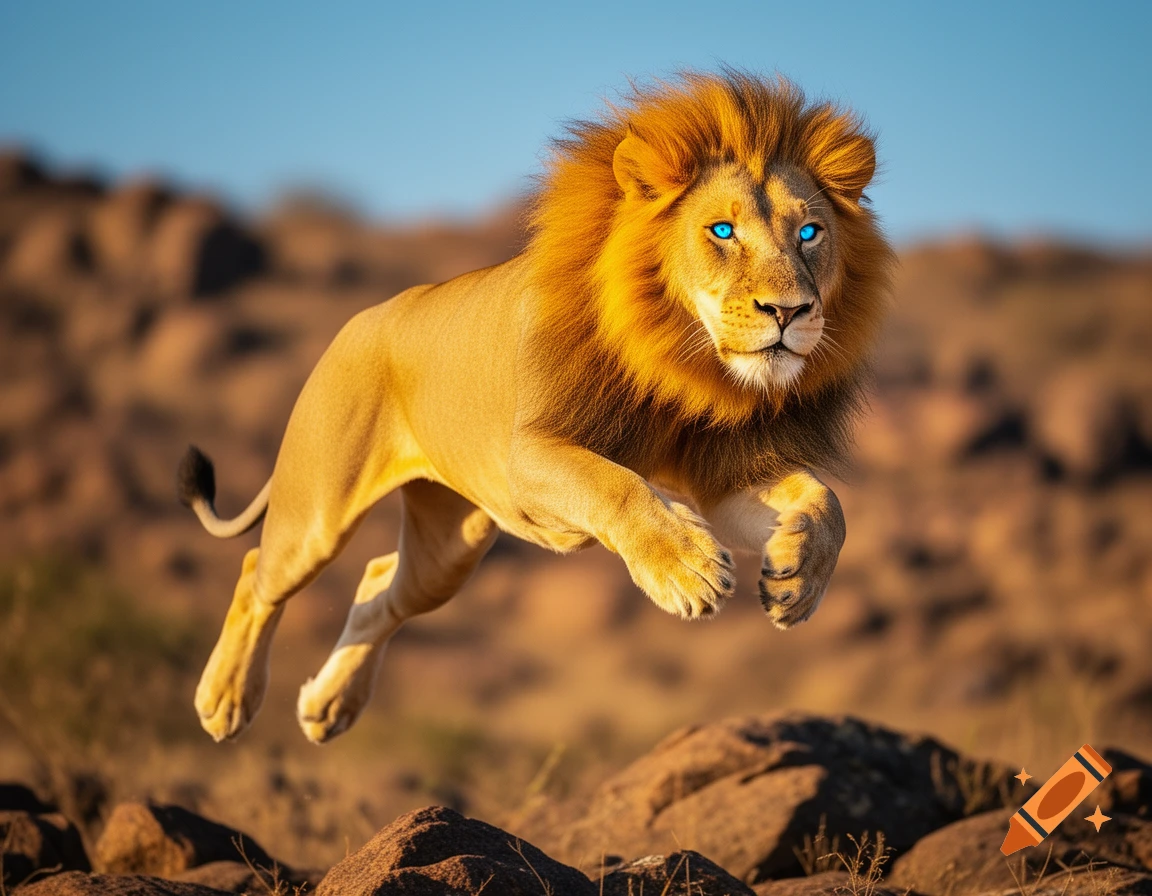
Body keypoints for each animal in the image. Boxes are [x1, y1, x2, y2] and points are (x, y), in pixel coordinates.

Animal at [179, 70, 895, 744]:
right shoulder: (527, 457)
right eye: (721, 230)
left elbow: (827, 503)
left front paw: (796, 577)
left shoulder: (722, 477)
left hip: (448, 550)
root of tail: (363, 319)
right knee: (257, 572)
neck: (681, 359)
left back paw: (330, 706)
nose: (790, 312)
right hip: (320, 513)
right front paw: (686, 569)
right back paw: (225, 701)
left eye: (810, 233)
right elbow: (616, 486)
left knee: (379, 583)